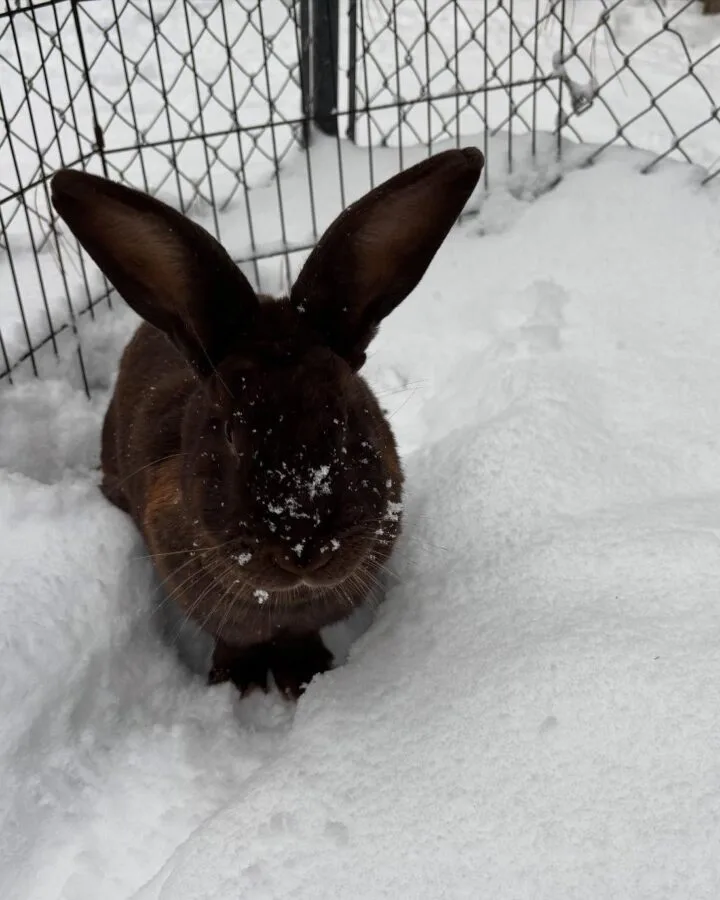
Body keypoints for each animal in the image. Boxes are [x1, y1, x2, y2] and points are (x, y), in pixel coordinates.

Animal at [50, 146, 484, 698]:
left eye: (347, 417)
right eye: (229, 430)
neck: (284, 599)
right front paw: (233, 684)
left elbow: (300, 638)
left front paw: (306, 677)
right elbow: (234, 641)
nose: (302, 547)